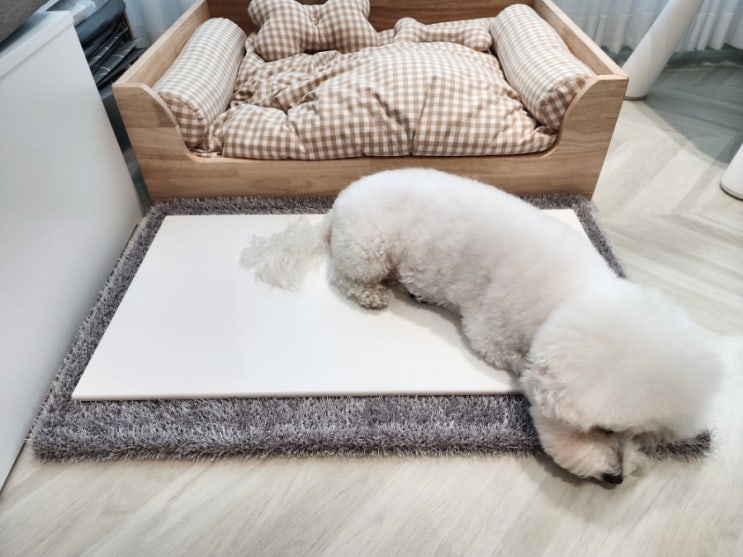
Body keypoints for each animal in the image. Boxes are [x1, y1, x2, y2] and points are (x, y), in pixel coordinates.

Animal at [241, 168, 721, 484]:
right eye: (601, 429)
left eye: (641, 436)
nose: (618, 478)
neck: (571, 296)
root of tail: (338, 205)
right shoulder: (490, 332)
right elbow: (507, 354)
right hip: (367, 249)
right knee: (344, 277)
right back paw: (373, 293)